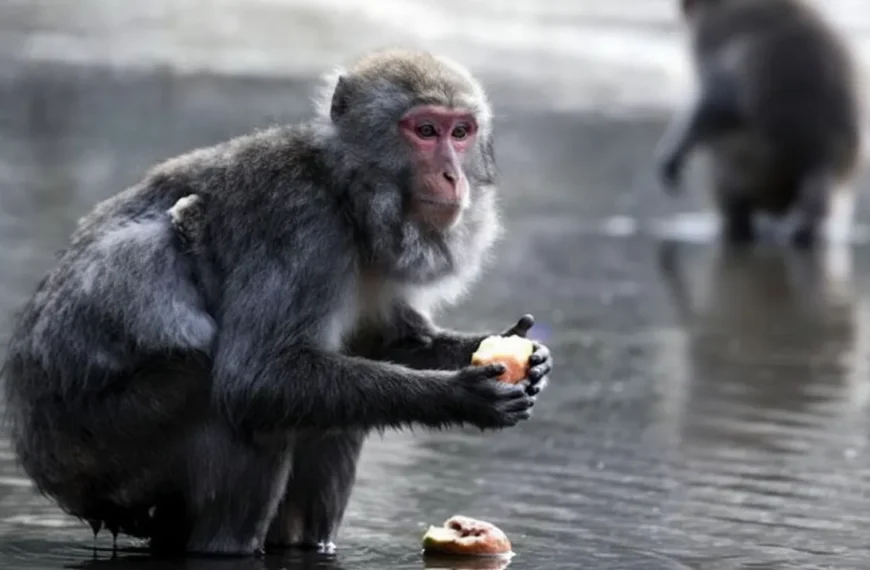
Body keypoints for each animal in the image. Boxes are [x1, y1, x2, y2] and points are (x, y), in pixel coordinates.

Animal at [1, 49, 553, 556]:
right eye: (424, 130)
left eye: (461, 132)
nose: (452, 176)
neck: (346, 195)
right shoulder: (298, 224)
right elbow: (256, 376)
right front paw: (459, 394)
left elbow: (384, 341)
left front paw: (522, 355)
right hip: (104, 454)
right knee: (224, 401)